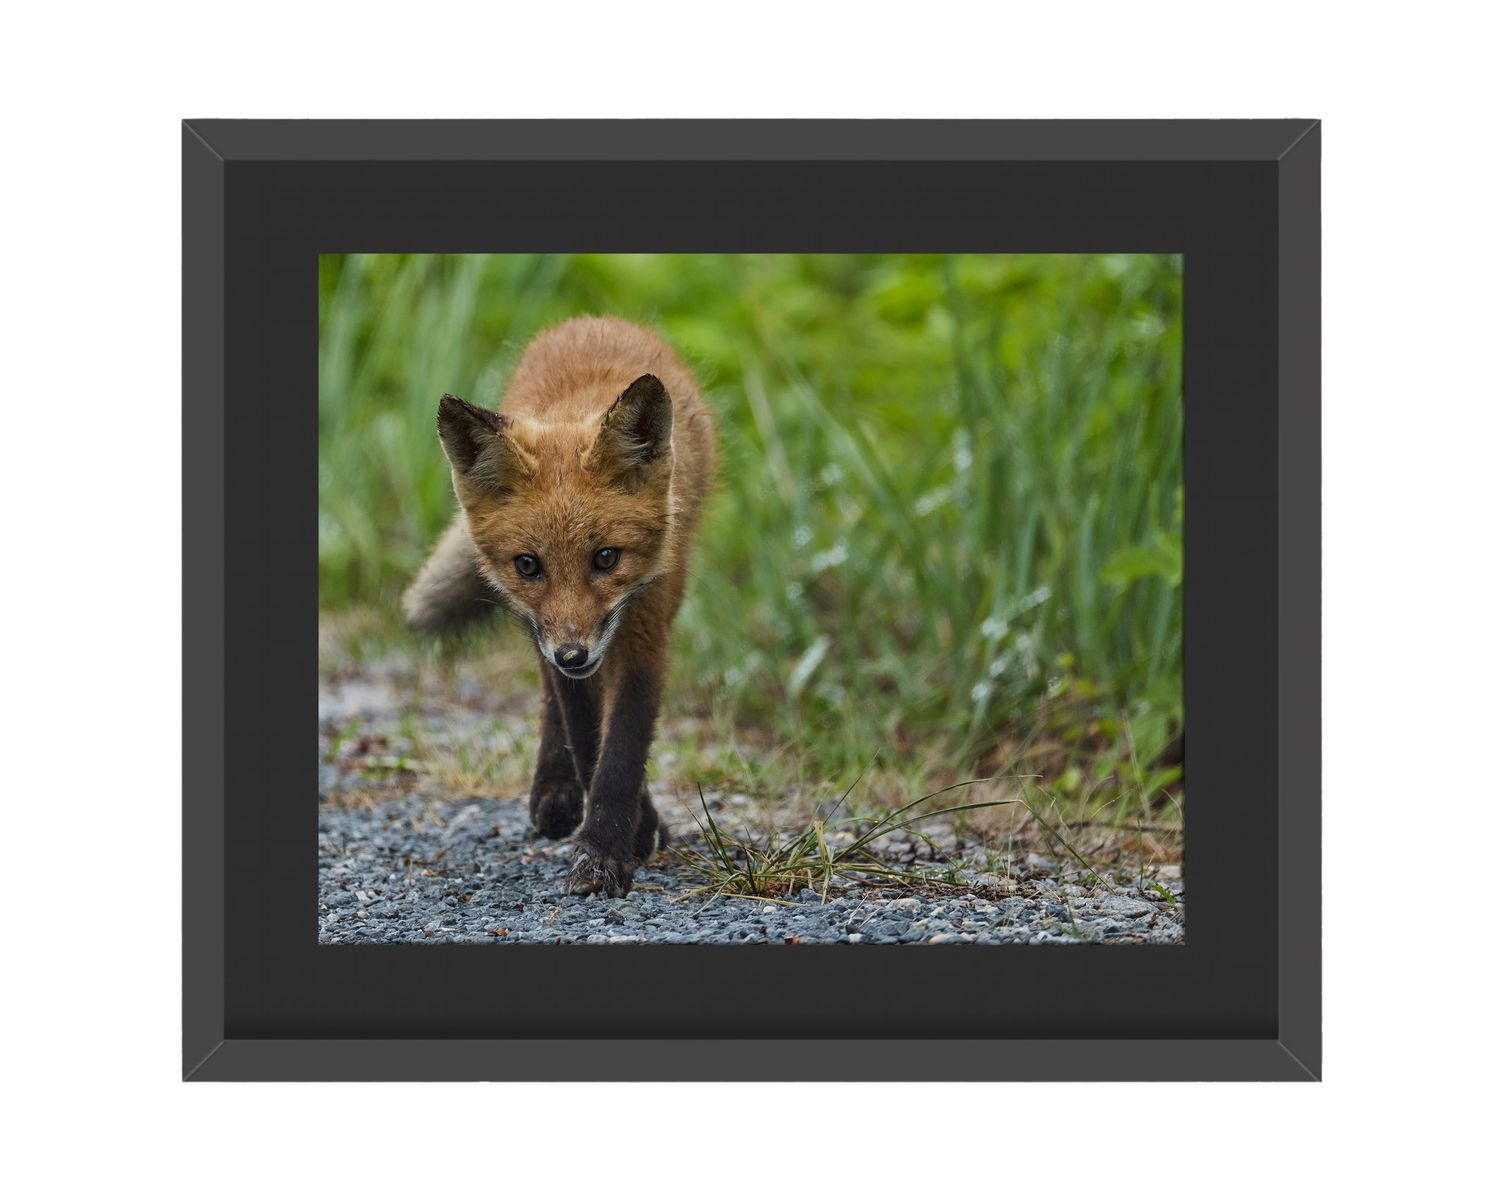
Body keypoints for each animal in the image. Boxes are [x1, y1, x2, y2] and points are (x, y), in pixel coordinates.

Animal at [402, 316, 715, 898]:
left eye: (606, 557)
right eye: (529, 565)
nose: (574, 655)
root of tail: (592, 320)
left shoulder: (645, 629)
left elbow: (622, 751)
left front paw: (606, 853)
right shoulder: (556, 637)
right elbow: (586, 737)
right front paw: (631, 831)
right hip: (533, 624)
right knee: (550, 694)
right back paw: (555, 788)